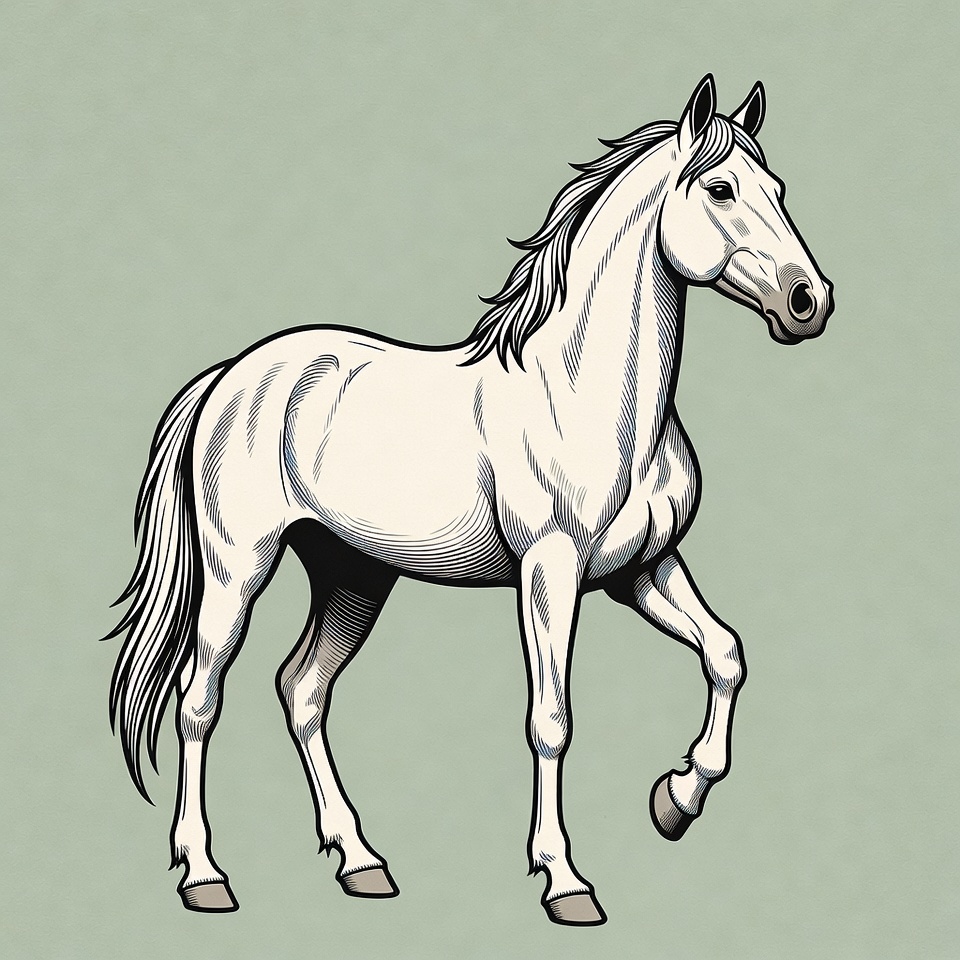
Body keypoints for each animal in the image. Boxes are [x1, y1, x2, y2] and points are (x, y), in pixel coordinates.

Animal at [107, 74, 833, 926]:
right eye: (720, 189)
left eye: (777, 189)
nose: (809, 301)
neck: (592, 401)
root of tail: (232, 376)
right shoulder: (551, 573)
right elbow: (551, 719)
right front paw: (565, 882)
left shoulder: (642, 571)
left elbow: (725, 655)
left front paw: (675, 801)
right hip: (237, 572)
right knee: (200, 700)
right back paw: (204, 875)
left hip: (354, 577)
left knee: (303, 690)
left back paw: (361, 862)